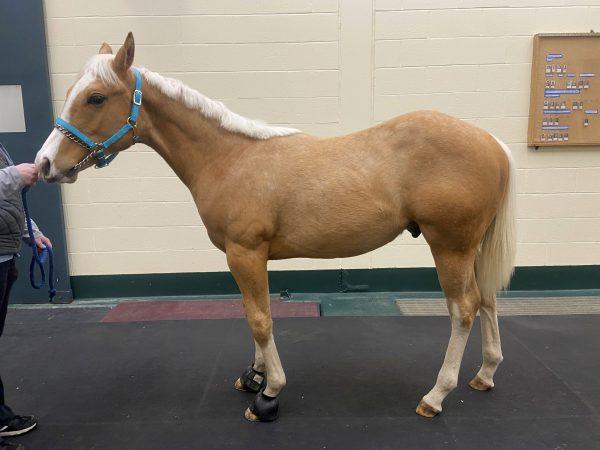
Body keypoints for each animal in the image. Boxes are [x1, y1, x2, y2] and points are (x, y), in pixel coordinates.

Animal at [36, 34, 516, 422]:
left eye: (95, 98)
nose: (44, 164)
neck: (229, 157)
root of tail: (492, 143)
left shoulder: (244, 251)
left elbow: (260, 319)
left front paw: (268, 394)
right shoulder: (248, 257)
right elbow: (253, 312)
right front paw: (254, 375)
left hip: (449, 247)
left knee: (464, 309)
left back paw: (436, 395)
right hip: (470, 249)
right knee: (487, 298)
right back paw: (486, 373)